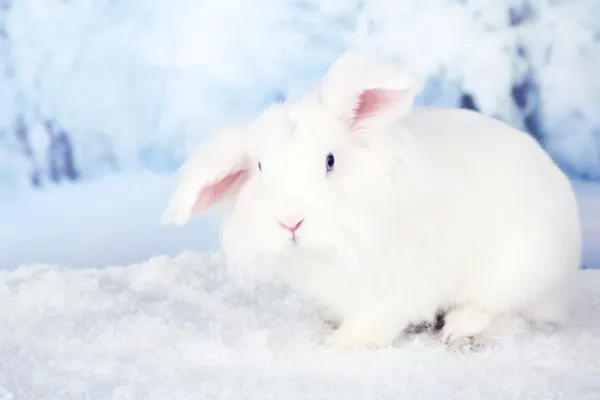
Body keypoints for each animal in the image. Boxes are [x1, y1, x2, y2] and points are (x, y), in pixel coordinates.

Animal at [163, 51, 580, 348]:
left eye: (330, 161)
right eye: (261, 168)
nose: (291, 222)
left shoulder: (392, 289)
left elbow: (373, 323)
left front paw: (341, 343)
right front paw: (332, 321)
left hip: (516, 272)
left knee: (509, 313)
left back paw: (460, 330)